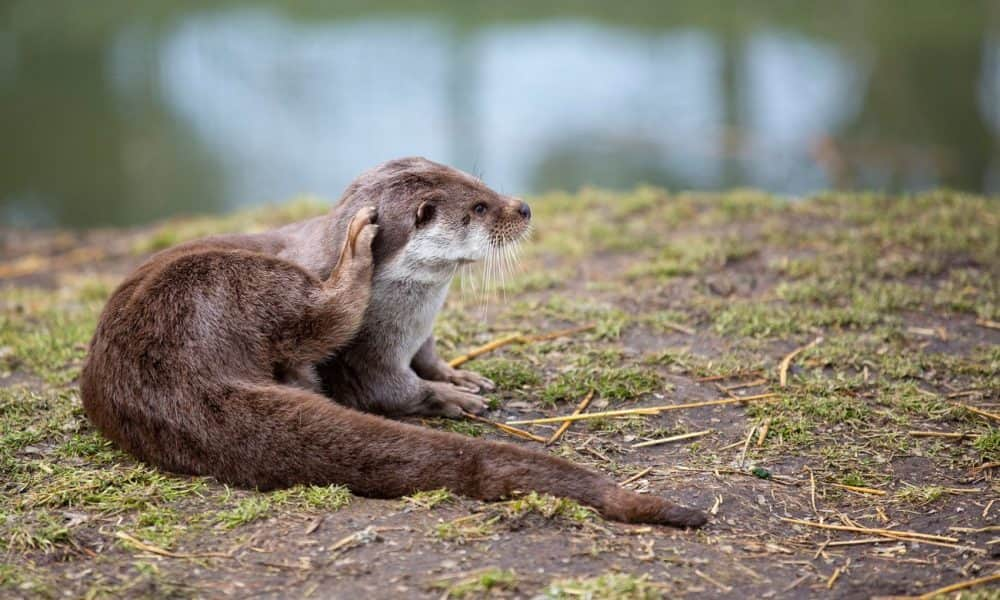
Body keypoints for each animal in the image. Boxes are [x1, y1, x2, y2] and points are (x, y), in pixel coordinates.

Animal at [80, 157, 712, 528]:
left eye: (482, 184)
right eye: (480, 207)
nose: (524, 206)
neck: (407, 313)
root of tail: (174, 381)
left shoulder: (421, 335)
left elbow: (431, 359)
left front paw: (459, 375)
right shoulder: (369, 357)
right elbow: (393, 391)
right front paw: (453, 399)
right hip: (233, 286)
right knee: (321, 315)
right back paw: (354, 253)